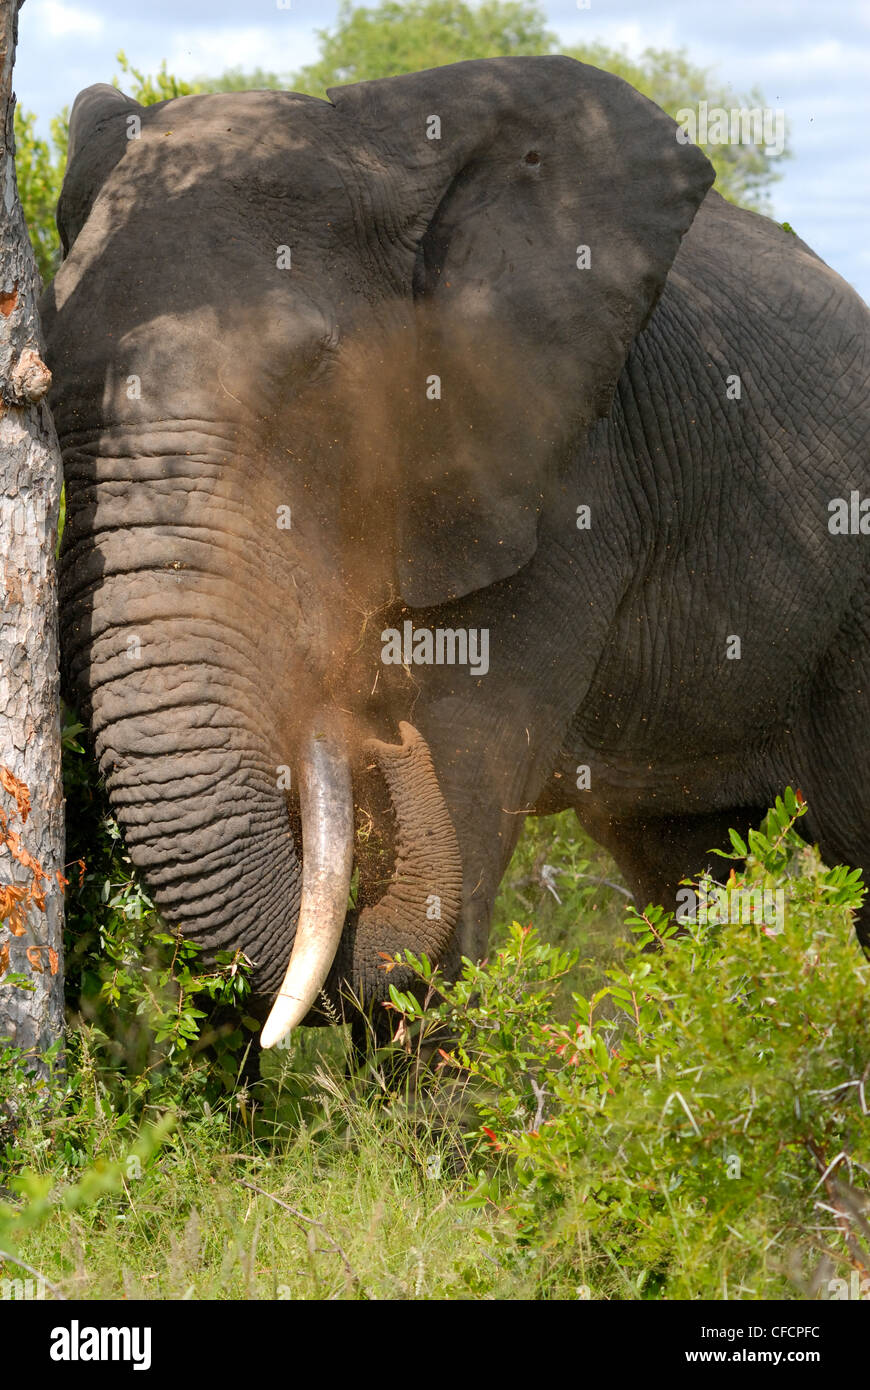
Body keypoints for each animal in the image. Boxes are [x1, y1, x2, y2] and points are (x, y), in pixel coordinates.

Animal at [40, 56, 870, 1057]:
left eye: (318, 376)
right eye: (42, 379)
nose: (373, 726)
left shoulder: (570, 482)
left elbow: (453, 851)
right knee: (677, 870)